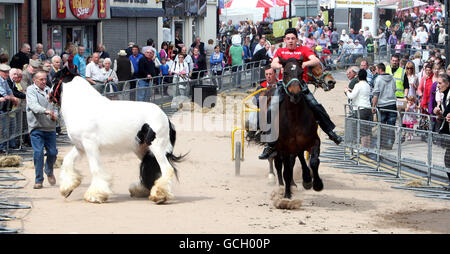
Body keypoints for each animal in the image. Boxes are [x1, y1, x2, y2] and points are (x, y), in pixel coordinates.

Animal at [51, 67, 186, 204]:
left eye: (53, 80)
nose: (49, 96)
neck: (82, 107)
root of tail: (166, 119)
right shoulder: (80, 146)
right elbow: (67, 161)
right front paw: (67, 189)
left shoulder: (90, 145)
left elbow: (95, 169)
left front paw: (95, 196)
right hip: (143, 149)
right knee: (150, 169)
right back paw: (142, 191)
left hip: (157, 148)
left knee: (166, 169)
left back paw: (159, 195)